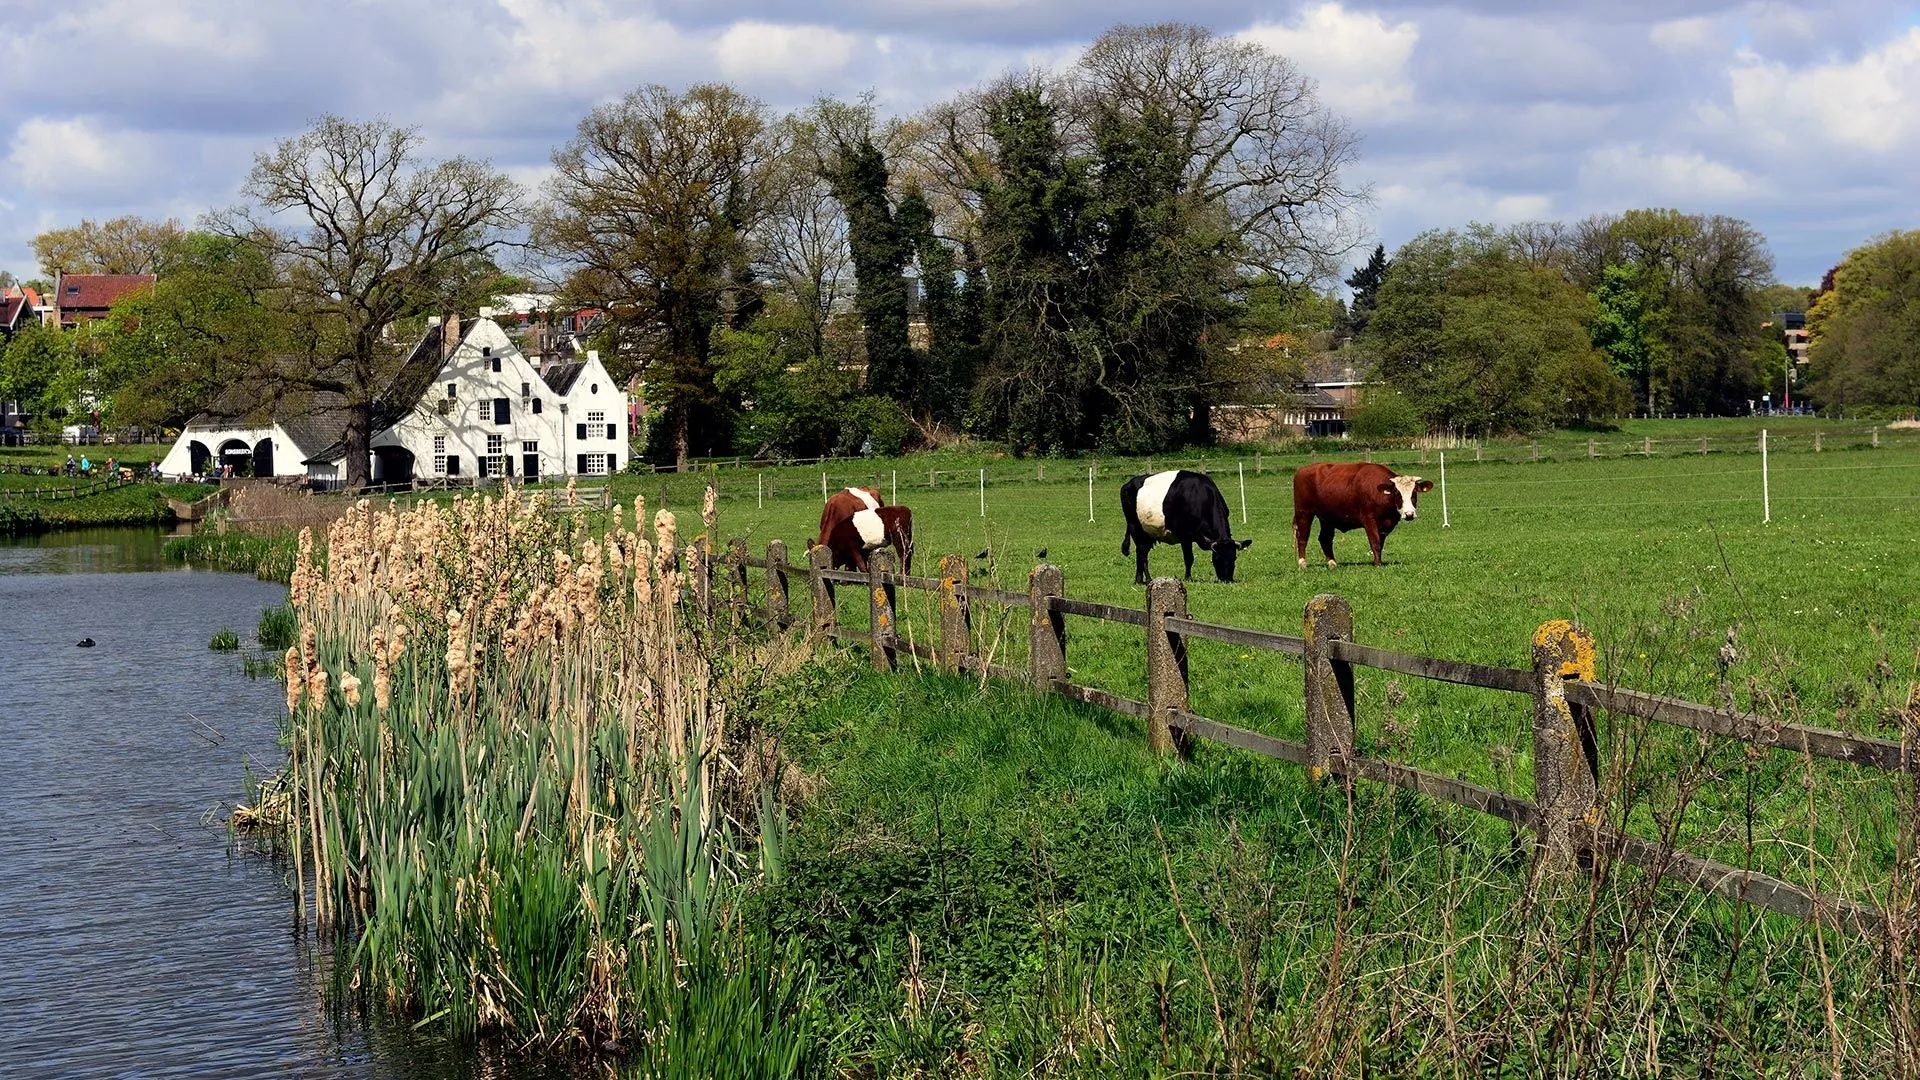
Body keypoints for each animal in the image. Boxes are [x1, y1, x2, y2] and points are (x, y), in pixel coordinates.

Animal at [1121, 463, 1251, 580]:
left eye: (1234, 558)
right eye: (1217, 558)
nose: (1227, 579)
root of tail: (1128, 484)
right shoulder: (1185, 536)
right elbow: (1189, 558)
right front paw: (1188, 578)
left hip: (1147, 533)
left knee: (1142, 553)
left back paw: (1141, 579)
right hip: (1135, 527)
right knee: (1141, 554)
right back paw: (1145, 580)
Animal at [1297, 457, 1436, 568]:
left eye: (1414, 493)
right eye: (1398, 494)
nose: (1409, 514)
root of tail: (1303, 470)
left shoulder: (1385, 525)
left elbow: (1380, 543)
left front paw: (1378, 561)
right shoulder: (1369, 520)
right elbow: (1375, 542)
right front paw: (1378, 564)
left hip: (1327, 518)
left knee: (1325, 538)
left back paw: (1332, 563)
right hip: (1304, 512)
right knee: (1302, 536)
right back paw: (1302, 563)